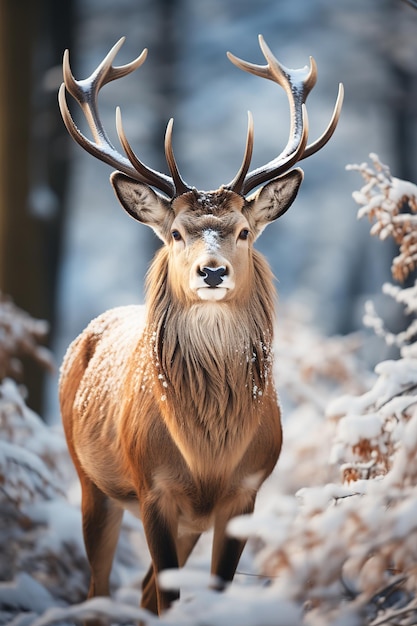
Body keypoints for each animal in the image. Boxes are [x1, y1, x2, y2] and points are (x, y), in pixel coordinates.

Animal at [58, 35, 342, 620]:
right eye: (175, 232)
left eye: (243, 230)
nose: (212, 271)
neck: (209, 454)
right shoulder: (153, 488)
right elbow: (169, 597)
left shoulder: (245, 491)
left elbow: (210, 592)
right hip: (90, 478)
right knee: (100, 590)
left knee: (142, 590)